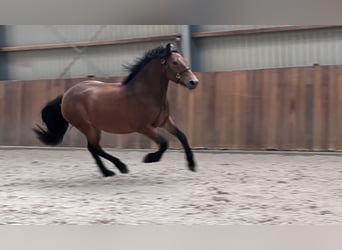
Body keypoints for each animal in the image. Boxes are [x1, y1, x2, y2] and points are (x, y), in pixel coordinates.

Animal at [33, 42, 199, 176]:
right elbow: (164, 143)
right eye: (175, 62)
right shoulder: (143, 127)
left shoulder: (164, 122)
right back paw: (119, 167)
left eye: (184, 60)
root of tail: (67, 95)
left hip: (94, 128)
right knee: (95, 148)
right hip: (87, 127)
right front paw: (150, 158)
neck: (146, 94)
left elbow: (182, 136)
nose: (194, 82)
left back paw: (108, 171)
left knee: (93, 148)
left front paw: (192, 165)